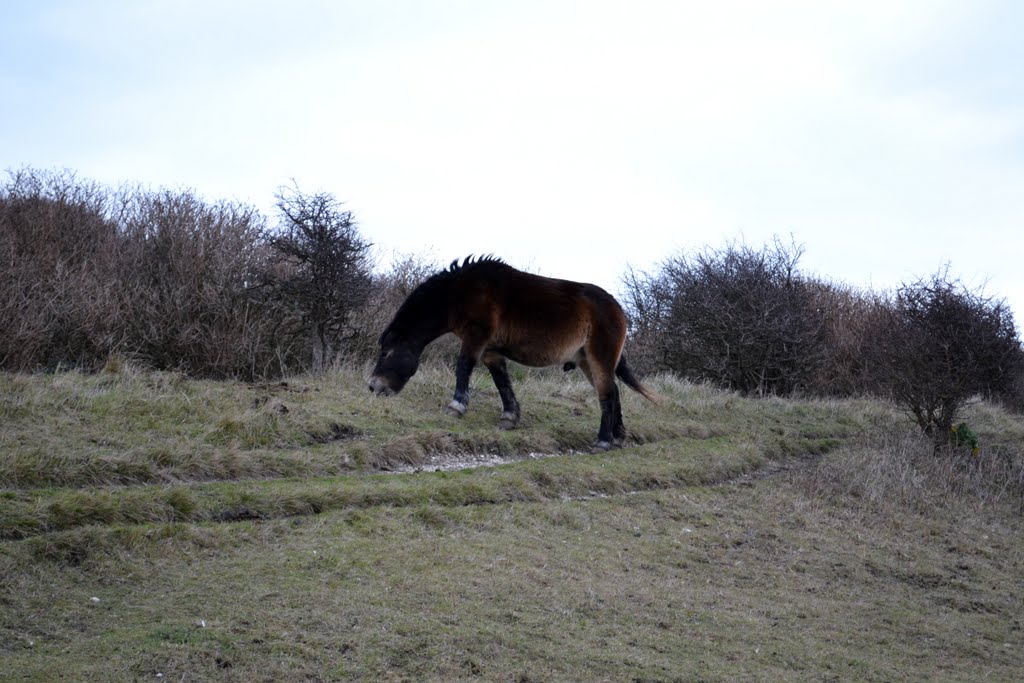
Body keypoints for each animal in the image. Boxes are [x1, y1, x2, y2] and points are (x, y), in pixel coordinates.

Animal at [368, 254, 655, 448]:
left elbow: (463, 367)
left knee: (607, 394)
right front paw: (509, 416)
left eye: (386, 353)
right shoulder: (490, 350)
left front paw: (456, 406)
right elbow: (501, 381)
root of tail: (618, 309)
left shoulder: (475, 339)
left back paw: (603, 441)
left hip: (599, 357)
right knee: (613, 391)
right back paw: (617, 436)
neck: (459, 293)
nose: (373, 386)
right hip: (586, 360)